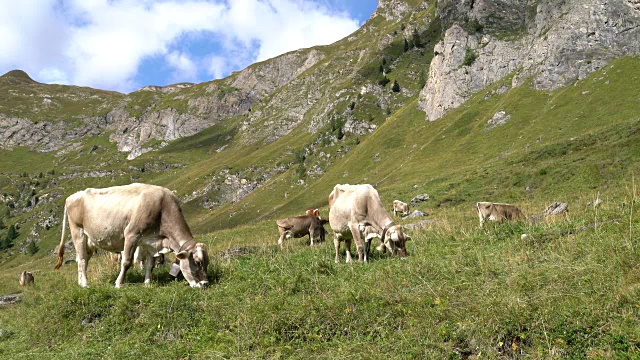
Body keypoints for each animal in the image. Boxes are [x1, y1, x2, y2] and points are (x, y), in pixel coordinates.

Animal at [55, 184, 210, 288]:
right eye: (197, 262)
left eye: (207, 263)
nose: (205, 283)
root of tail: (72, 196)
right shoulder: (131, 235)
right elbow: (127, 262)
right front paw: (118, 283)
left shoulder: (149, 242)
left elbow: (150, 264)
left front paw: (147, 283)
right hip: (78, 232)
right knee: (81, 259)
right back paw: (85, 284)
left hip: (89, 241)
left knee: (82, 259)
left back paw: (80, 282)